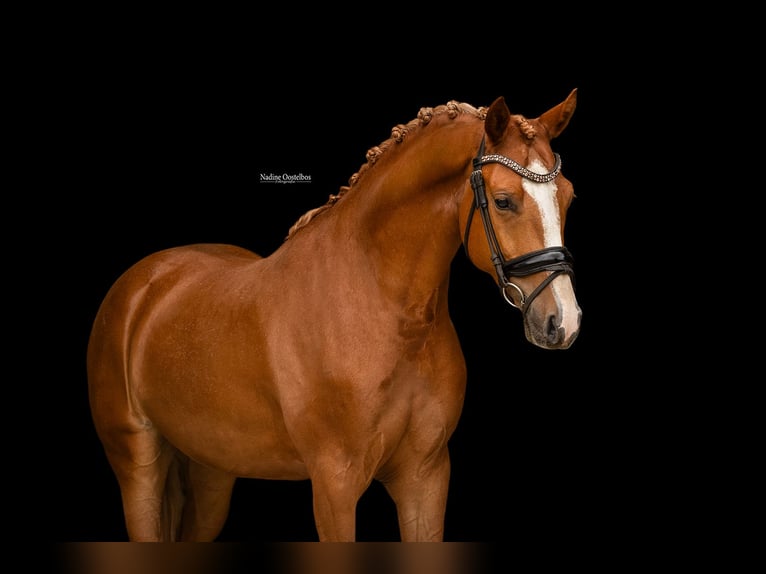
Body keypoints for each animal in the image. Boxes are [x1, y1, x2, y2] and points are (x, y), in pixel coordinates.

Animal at [86, 89, 581, 542]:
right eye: (503, 201)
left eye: (569, 197)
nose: (563, 321)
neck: (383, 313)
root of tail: (143, 284)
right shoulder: (334, 485)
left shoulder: (426, 477)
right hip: (138, 466)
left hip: (211, 471)